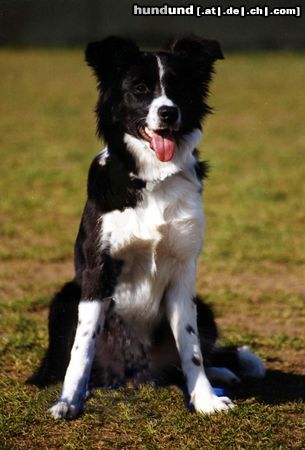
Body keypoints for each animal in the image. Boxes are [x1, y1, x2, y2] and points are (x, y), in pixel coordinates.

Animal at [29, 34, 264, 418]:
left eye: (178, 87)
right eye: (139, 89)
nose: (168, 112)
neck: (153, 177)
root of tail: (136, 374)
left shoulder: (184, 271)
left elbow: (191, 347)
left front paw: (205, 400)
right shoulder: (97, 269)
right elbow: (82, 347)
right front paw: (69, 401)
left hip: (204, 306)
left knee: (188, 359)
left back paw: (223, 372)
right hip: (65, 297)